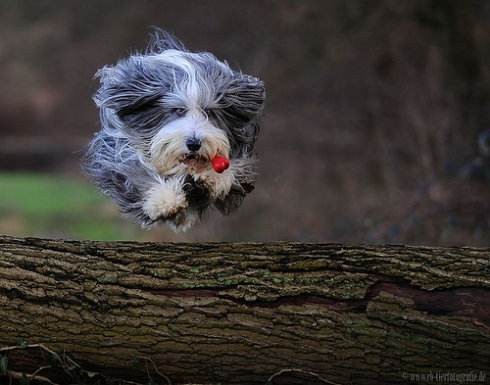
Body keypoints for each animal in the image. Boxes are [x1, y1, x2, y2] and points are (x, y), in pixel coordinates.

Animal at [83, 30, 264, 230]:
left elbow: (232, 169)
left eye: (209, 112)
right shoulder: (118, 153)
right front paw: (164, 200)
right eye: (178, 110)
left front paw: (212, 177)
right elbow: (136, 172)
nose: (194, 143)